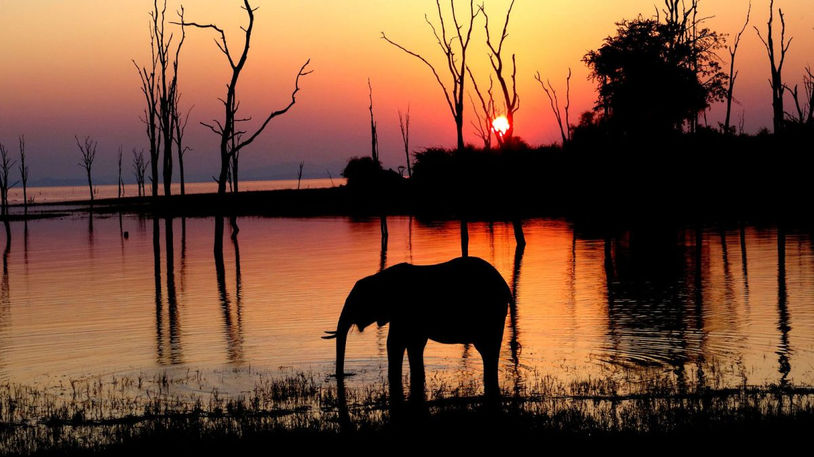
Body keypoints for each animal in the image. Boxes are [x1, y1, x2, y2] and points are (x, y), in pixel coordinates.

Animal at [323, 256, 512, 401]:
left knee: (487, 349)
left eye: (356, 303)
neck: (380, 279)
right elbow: (414, 345)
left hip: (490, 315)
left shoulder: (404, 311)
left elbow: (395, 343)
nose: (341, 376)